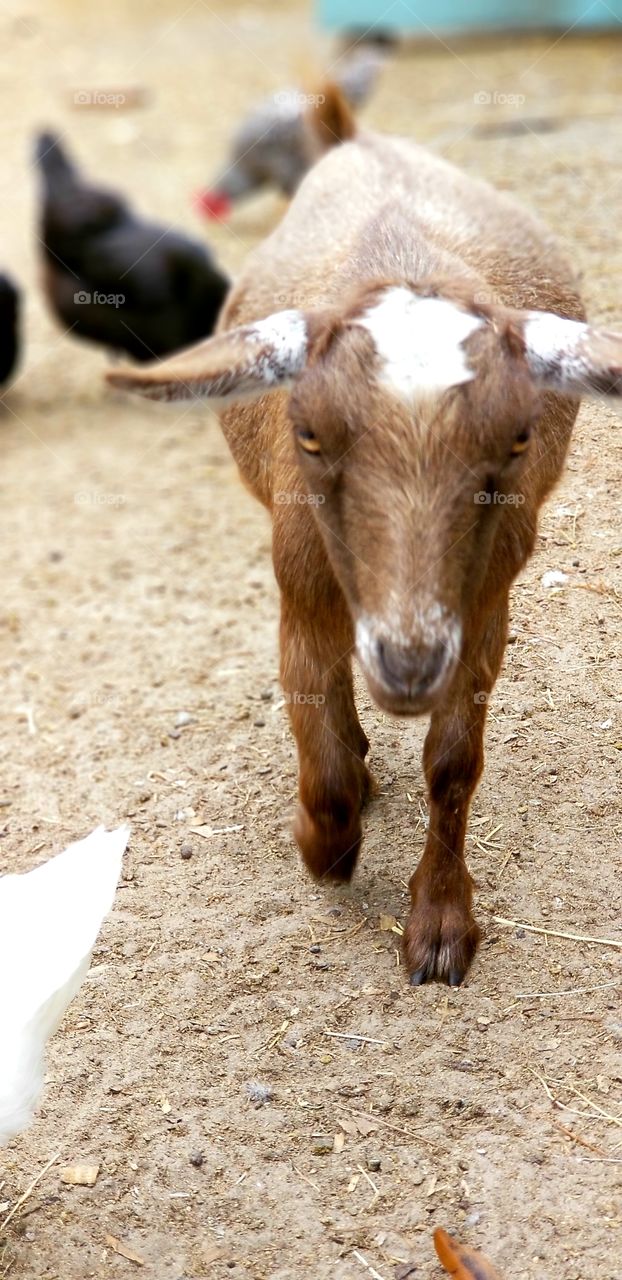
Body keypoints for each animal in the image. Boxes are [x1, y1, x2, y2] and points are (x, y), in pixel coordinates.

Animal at [108, 89, 622, 986]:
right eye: (308, 434)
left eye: (518, 437)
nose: (408, 664)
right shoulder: (301, 582)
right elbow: (315, 727)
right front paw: (326, 846)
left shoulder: (484, 603)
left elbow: (453, 763)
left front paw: (441, 927)